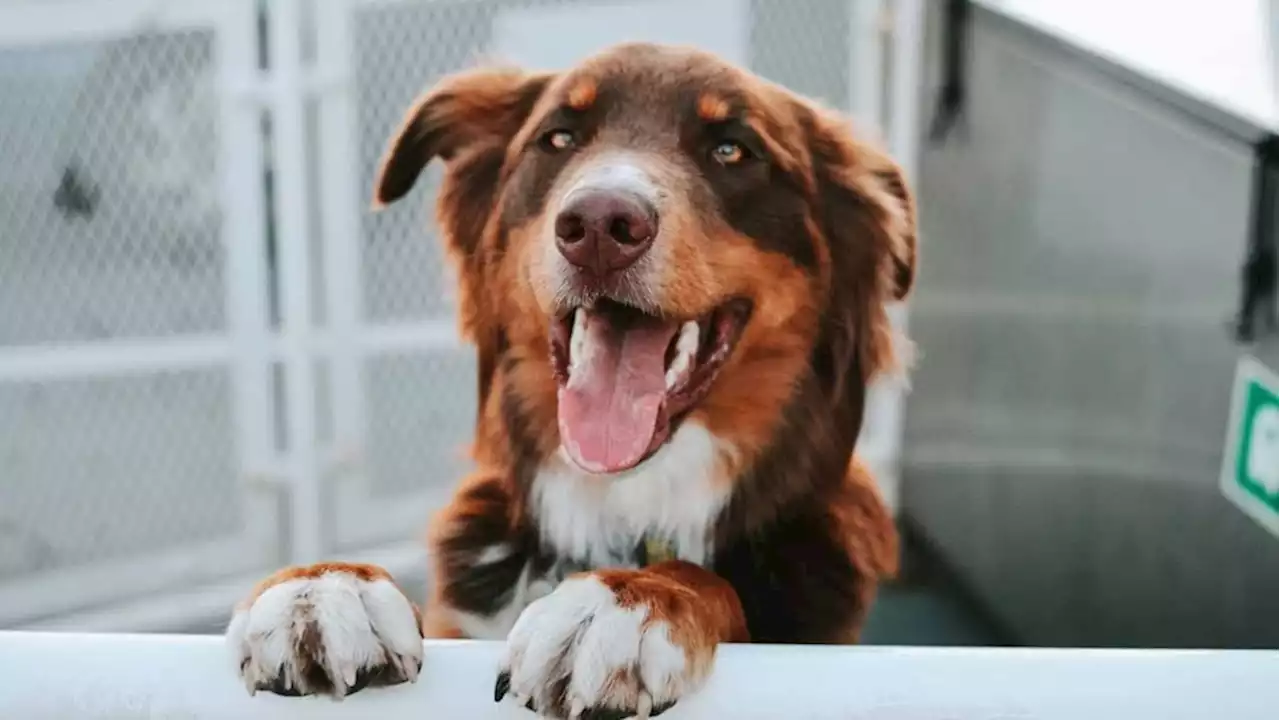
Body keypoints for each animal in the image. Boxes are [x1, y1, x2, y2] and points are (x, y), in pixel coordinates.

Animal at [225, 40, 916, 717]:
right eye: (558, 138)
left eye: (732, 149)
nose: (601, 226)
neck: (625, 506)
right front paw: (325, 586)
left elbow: (702, 579)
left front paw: (625, 601)